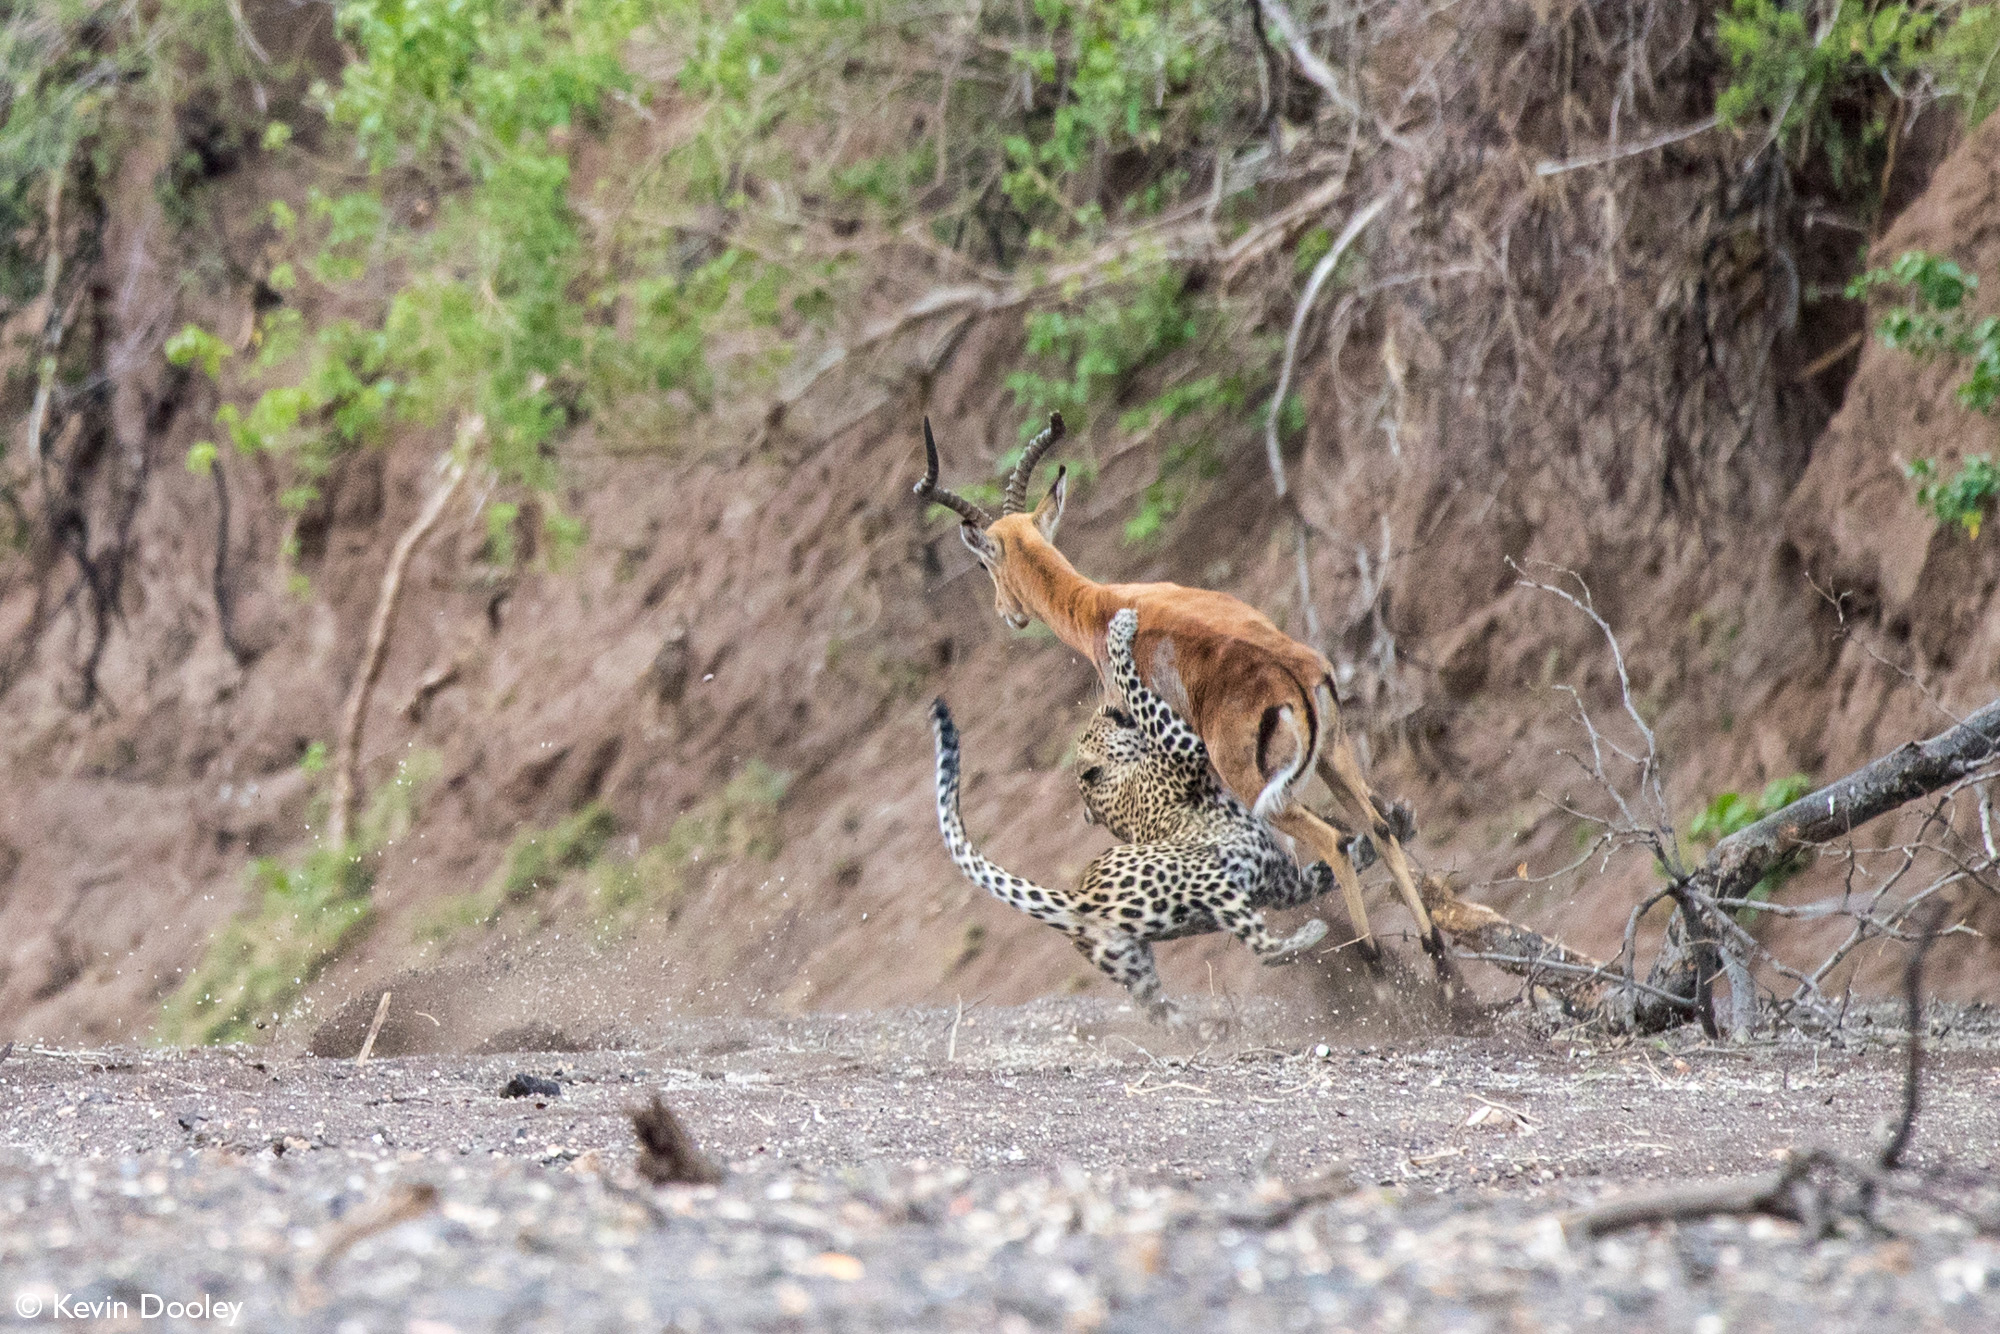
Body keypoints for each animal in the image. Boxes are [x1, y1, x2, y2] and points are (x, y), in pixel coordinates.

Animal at [932, 612, 1344, 1032]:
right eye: (1101, 723)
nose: (1105, 705)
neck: (1114, 793)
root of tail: (1080, 900)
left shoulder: (1281, 881)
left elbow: (1329, 867)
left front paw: (1363, 842)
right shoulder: (1178, 743)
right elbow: (1138, 691)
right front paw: (1121, 632)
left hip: (1131, 964)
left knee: (1159, 1011)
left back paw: (1203, 1031)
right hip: (1203, 877)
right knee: (1265, 950)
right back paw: (1307, 936)